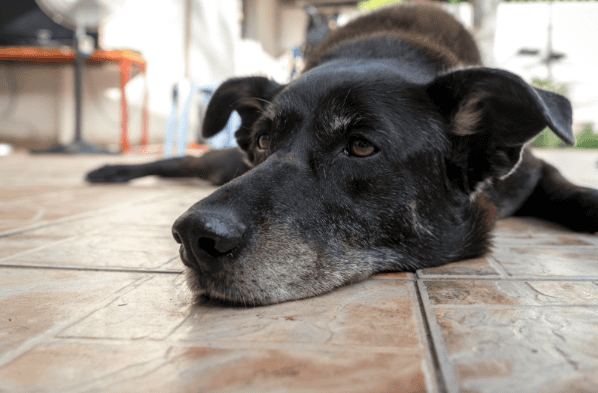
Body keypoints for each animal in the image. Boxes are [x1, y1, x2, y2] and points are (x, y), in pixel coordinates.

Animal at [88, 3, 598, 304]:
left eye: (361, 147)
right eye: (263, 141)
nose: (194, 237)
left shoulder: (532, 171)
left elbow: (564, 186)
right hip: (222, 164)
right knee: (181, 161)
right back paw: (107, 170)